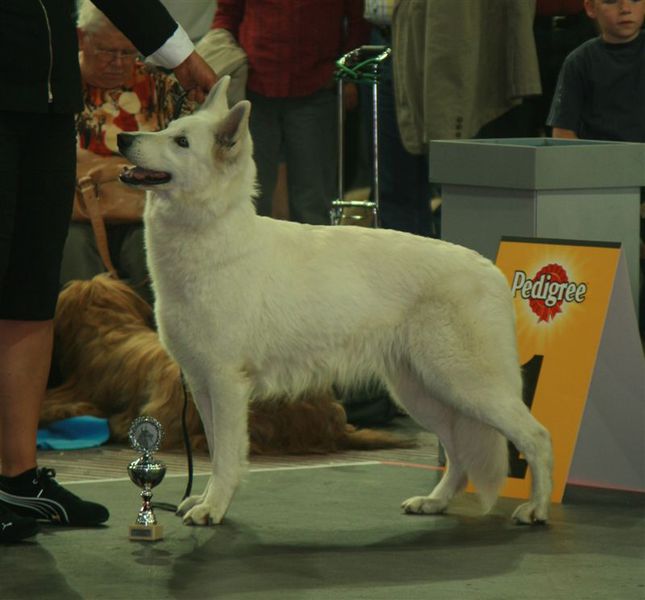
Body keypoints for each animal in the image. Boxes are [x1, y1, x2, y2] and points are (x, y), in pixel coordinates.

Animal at [117, 76, 553, 527]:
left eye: (181, 142)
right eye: (168, 128)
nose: (123, 138)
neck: (211, 235)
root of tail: (491, 270)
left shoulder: (226, 384)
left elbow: (226, 458)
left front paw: (213, 507)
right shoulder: (202, 383)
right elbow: (218, 451)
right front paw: (203, 501)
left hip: (468, 386)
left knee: (536, 436)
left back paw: (536, 509)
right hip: (422, 392)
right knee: (458, 452)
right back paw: (433, 501)